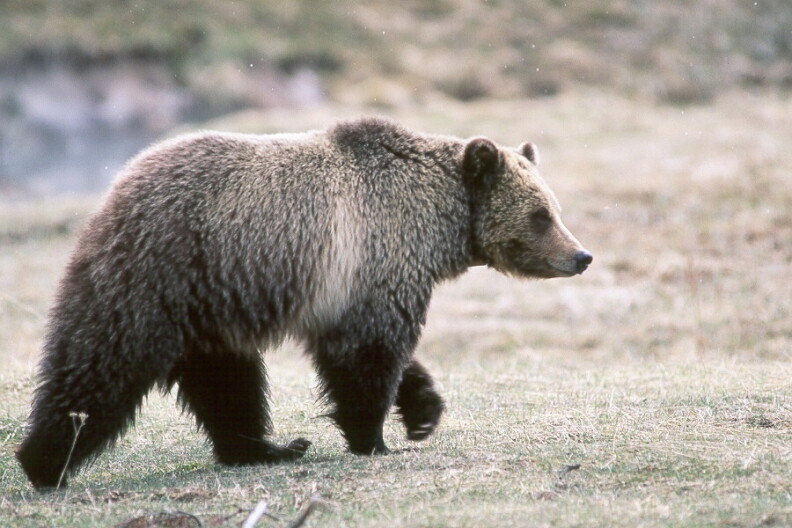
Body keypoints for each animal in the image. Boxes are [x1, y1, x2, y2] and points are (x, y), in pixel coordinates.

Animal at [16, 117, 592, 489]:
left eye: (555, 208)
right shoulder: (374, 256)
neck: (438, 221)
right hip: (159, 275)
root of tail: (115, 191)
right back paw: (44, 462)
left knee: (227, 382)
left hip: (211, 305)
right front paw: (373, 438)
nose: (581, 255)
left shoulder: (357, 288)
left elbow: (376, 350)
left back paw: (264, 448)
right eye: (541, 214)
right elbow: (368, 356)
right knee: (101, 365)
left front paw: (423, 410)